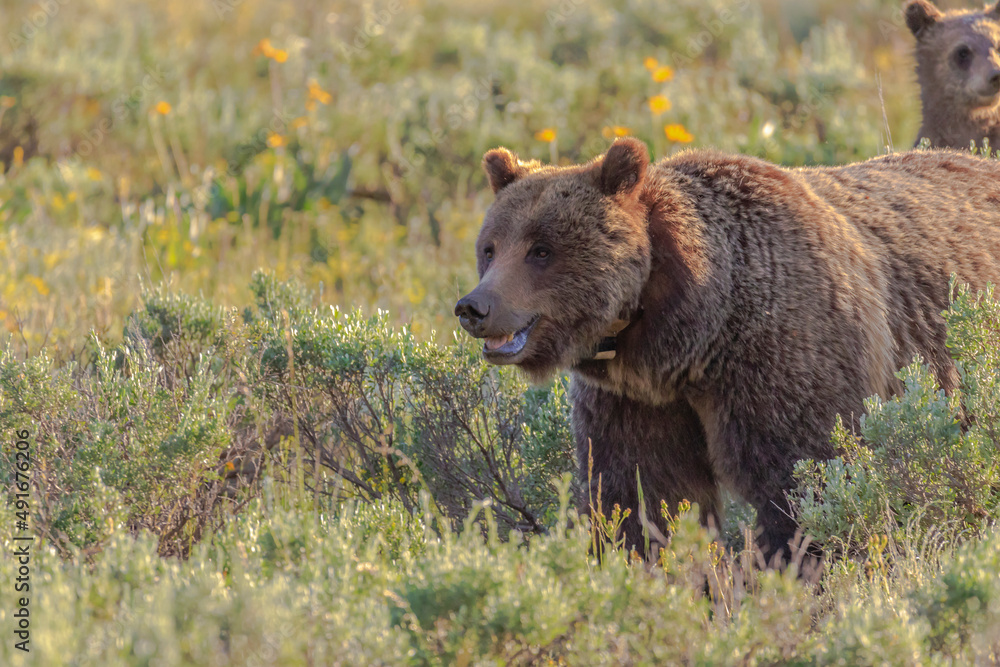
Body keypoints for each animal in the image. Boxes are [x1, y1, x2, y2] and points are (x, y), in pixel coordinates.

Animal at [454, 136, 1000, 564]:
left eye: (541, 250)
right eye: (490, 247)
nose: (473, 306)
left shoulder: (785, 351)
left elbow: (804, 480)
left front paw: (797, 567)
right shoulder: (635, 401)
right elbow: (643, 494)